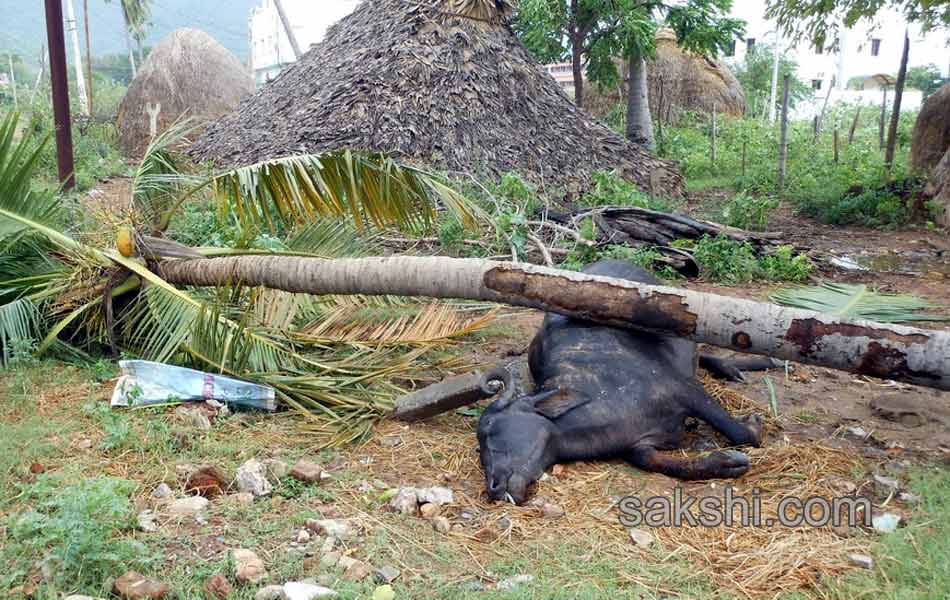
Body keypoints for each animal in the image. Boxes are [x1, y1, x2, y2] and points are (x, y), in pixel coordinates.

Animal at [480, 260, 776, 504]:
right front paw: (726, 462)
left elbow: (739, 432)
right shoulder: (639, 447)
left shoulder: (684, 389)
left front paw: (752, 426)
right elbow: (664, 464)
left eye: (491, 430)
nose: (494, 487)